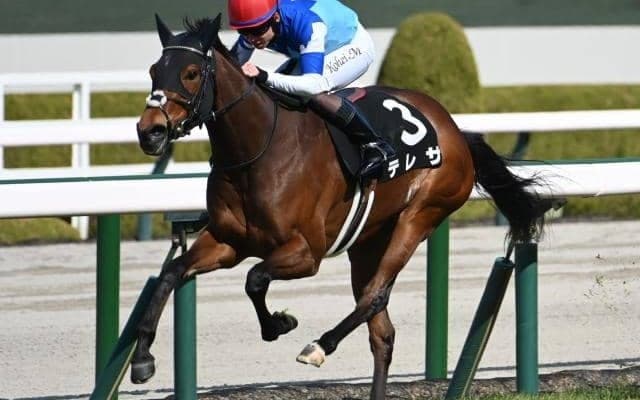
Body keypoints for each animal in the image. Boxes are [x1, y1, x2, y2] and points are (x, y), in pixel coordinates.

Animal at [133, 14, 545, 399]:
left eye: (190, 73)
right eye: (154, 70)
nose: (149, 131)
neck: (256, 152)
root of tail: (455, 130)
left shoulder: (306, 252)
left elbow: (255, 279)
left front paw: (280, 324)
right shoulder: (226, 241)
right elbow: (171, 274)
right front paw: (142, 358)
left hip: (420, 215)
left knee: (375, 295)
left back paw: (319, 345)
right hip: (367, 241)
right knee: (382, 332)